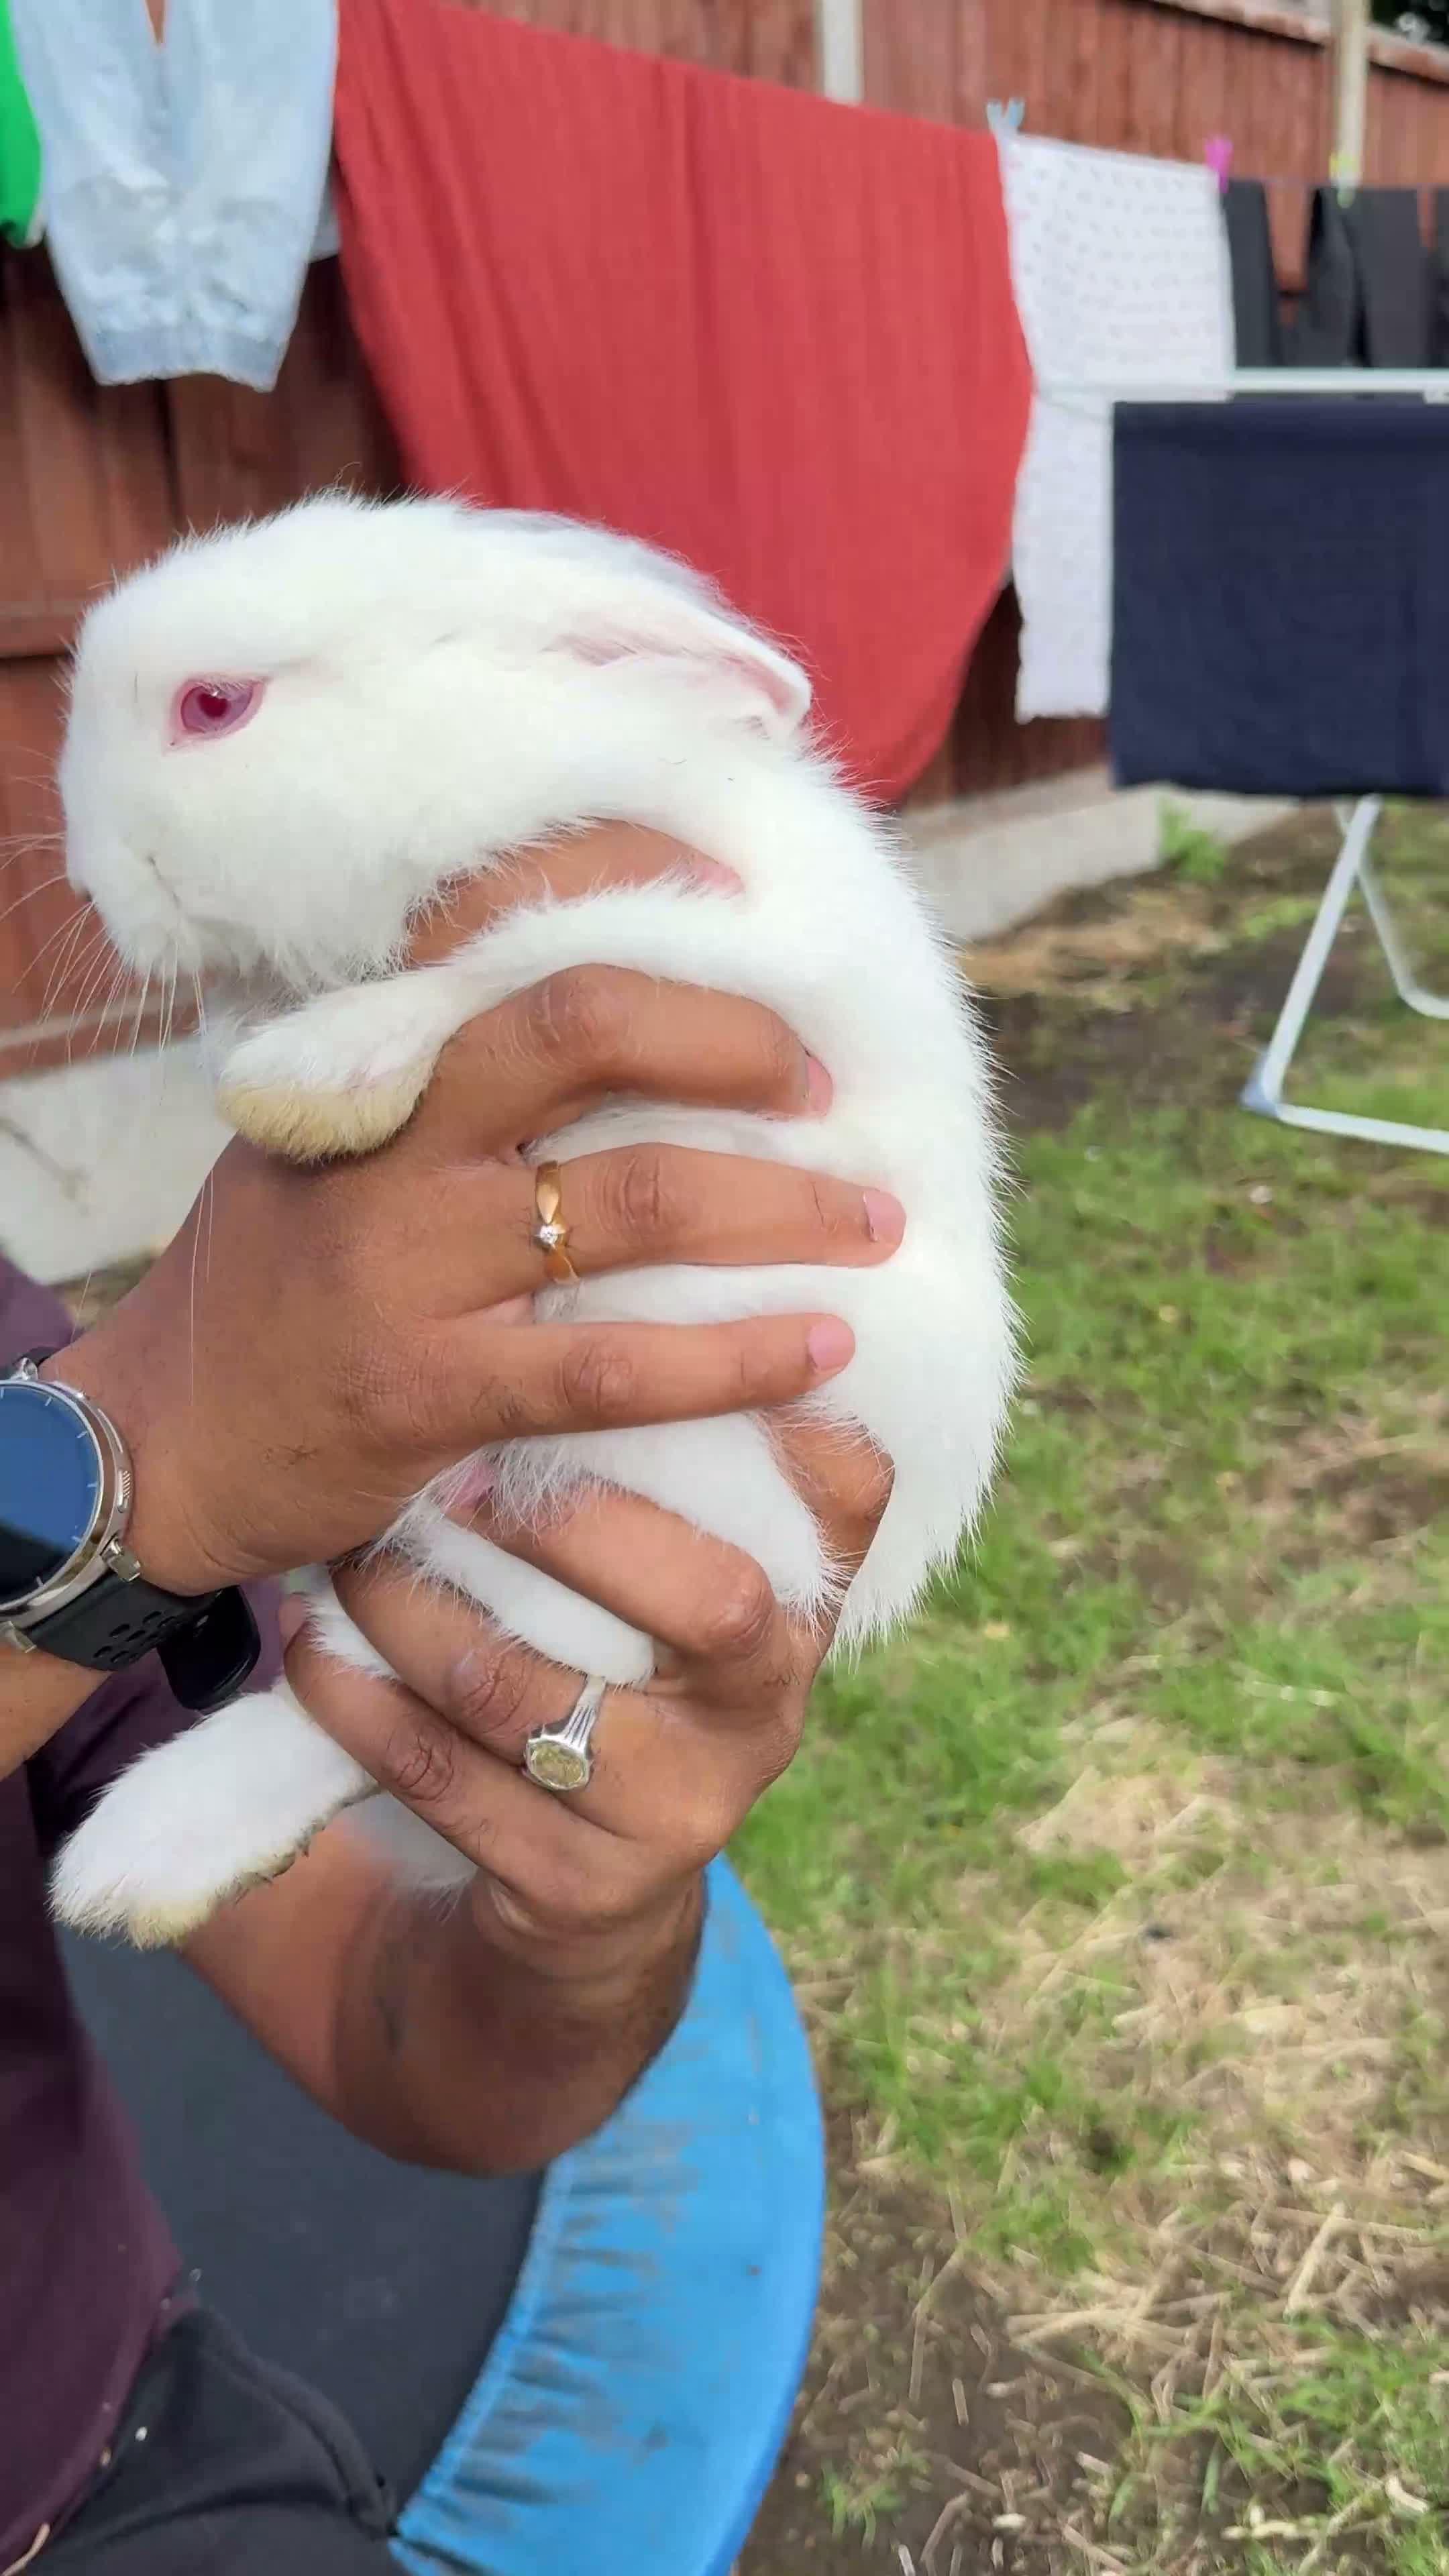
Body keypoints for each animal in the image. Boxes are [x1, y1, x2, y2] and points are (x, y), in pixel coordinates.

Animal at [49, 494, 1016, 1948]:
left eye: (214, 705)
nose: (94, 886)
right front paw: (263, 1051)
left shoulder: (725, 945)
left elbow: (514, 962)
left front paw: (306, 1080)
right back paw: (140, 1865)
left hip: (664, 1472)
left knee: (432, 1679)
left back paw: (140, 1857)